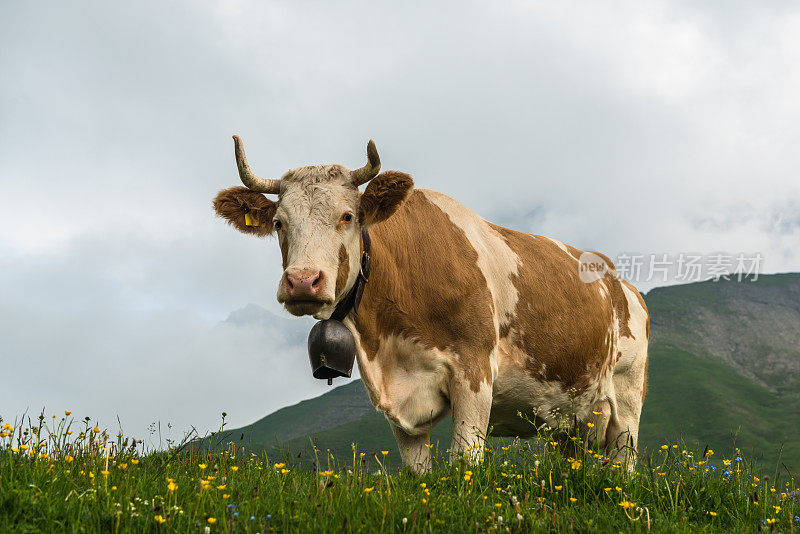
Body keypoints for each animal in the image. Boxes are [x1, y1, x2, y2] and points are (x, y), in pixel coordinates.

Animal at [214, 137, 648, 474]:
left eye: (348, 216)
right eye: (279, 223)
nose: (303, 281)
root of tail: (621, 282)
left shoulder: (474, 372)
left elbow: (463, 465)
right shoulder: (396, 400)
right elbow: (416, 473)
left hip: (627, 398)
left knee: (625, 467)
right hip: (569, 418)